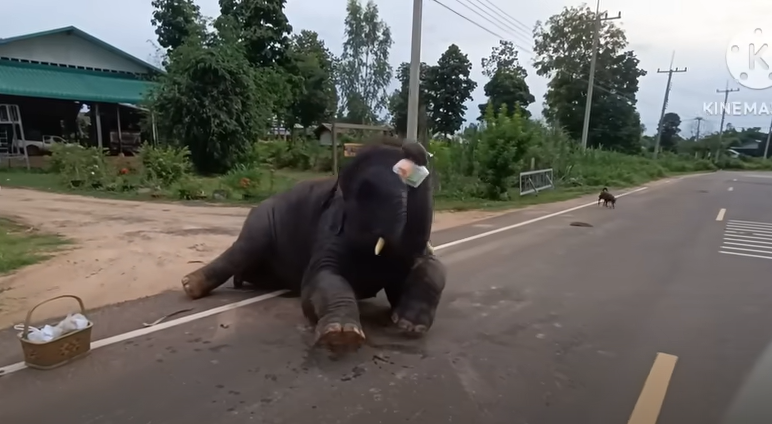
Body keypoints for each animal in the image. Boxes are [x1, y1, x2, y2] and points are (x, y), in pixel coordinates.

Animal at [181, 139, 446, 352]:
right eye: (366, 192)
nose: (411, 147)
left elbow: (433, 268)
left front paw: (409, 326)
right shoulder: (329, 229)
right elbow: (320, 278)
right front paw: (342, 336)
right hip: (261, 221)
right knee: (243, 250)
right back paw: (189, 286)